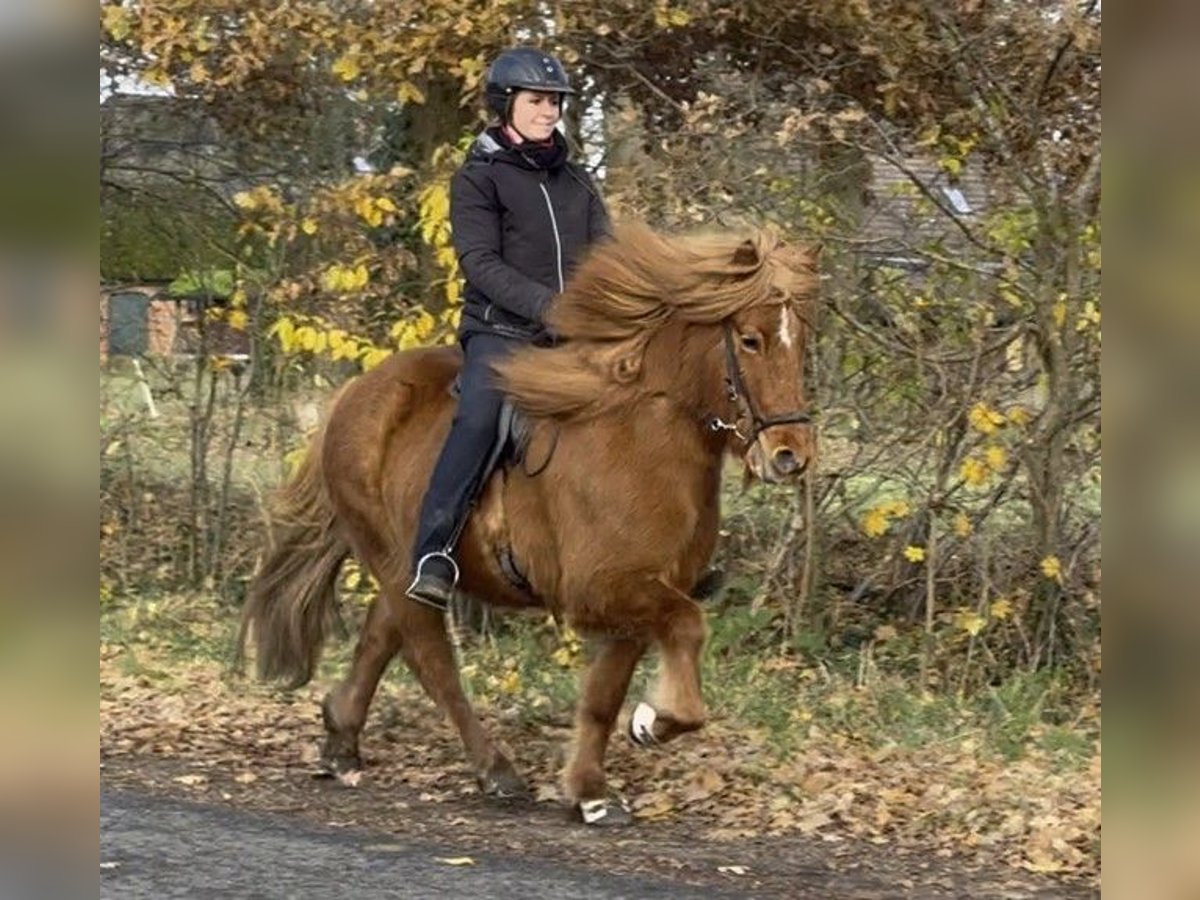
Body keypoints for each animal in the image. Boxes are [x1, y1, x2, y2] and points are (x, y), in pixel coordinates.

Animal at [236, 222, 816, 830]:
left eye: (800, 338)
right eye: (749, 340)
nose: (790, 455)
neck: (642, 441)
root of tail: (354, 394)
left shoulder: (644, 595)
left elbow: (604, 695)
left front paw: (591, 791)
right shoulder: (602, 591)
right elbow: (687, 627)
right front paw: (652, 723)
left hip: (401, 565)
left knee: (381, 635)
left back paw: (341, 740)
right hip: (393, 559)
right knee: (431, 660)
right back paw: (494, 770)